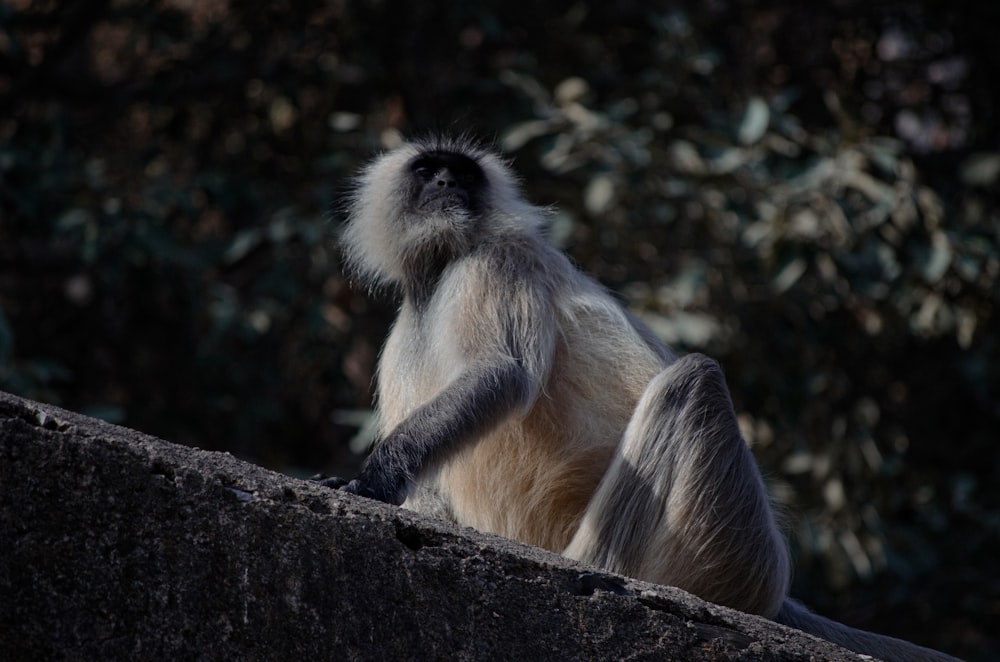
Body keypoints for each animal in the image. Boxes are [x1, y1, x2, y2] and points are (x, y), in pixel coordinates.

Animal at [320, 136, 960, 662]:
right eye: (428, 170)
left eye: (462, 173)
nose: (449, 186)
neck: (440, 271)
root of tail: (777, 593)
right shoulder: (405, 327)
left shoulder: (497, 260)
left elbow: (502, 375)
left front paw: (374, 478)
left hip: (732, 536)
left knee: (693, 381)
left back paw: (590, 572)